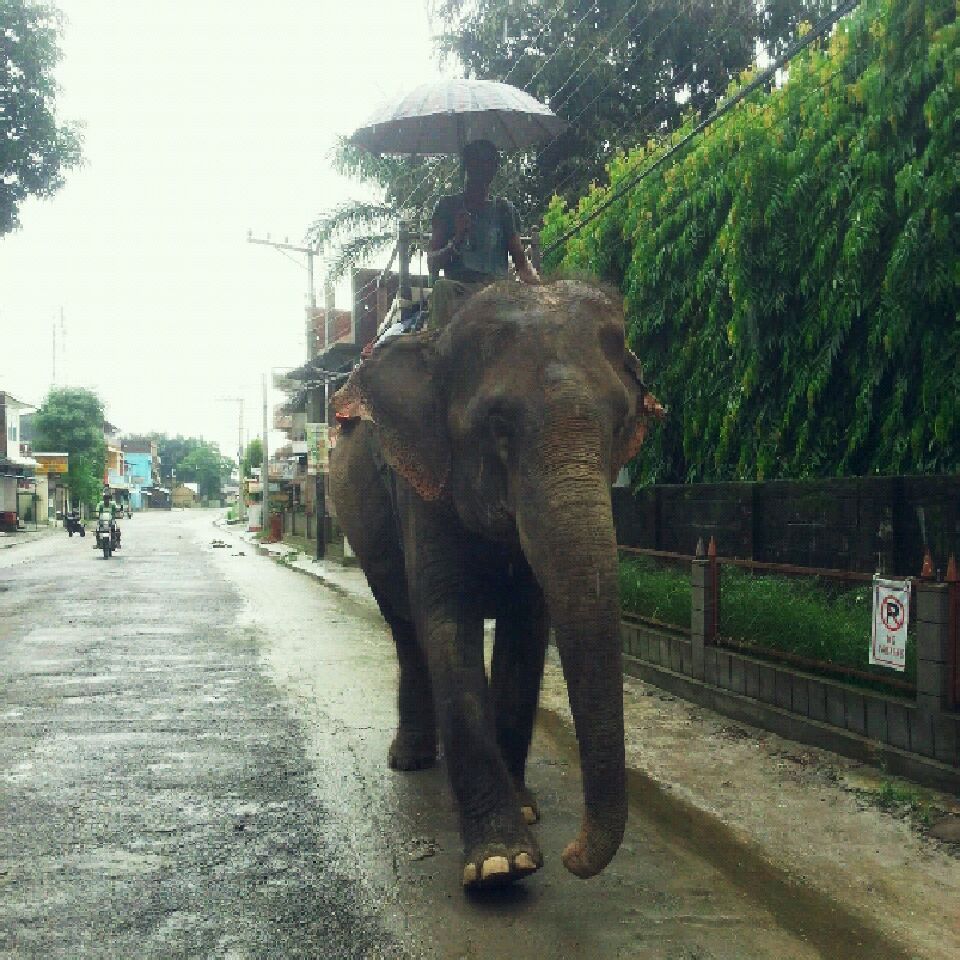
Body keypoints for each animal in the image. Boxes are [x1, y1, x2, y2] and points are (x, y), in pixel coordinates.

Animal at [329, 279, 663, 890]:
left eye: (619, 426)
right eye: (499, 427)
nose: (572, 855)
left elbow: (527, 632)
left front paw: (526, 812)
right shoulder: (421, 484)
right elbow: (447, 622)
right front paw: (500, 864)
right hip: (365, 532)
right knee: (405, 629)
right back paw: (411, 759)